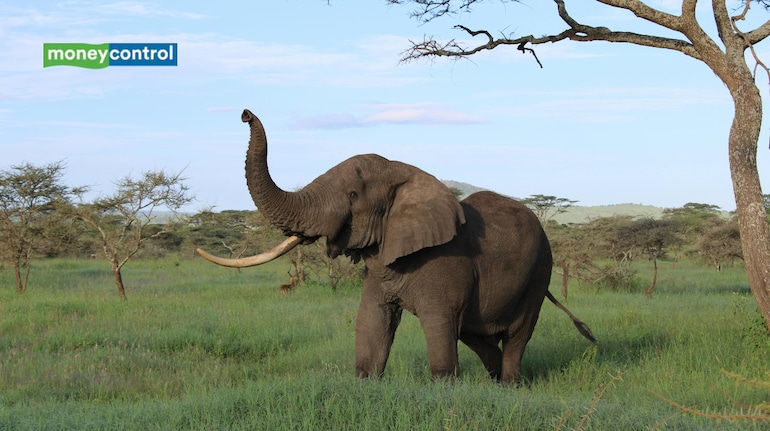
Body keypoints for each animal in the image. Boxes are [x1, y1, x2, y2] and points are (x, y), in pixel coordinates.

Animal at [197, 109, 597, 385]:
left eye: (352, 195)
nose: (245, 113)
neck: (403, 172)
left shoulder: (446, 264)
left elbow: (439, 328)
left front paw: (444, 393)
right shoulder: (380, 265)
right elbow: (372, 324)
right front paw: (365, 383)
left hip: (539, 270)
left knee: (515, 335)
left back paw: (510, 386)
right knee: (475, 334)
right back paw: (496, 384)